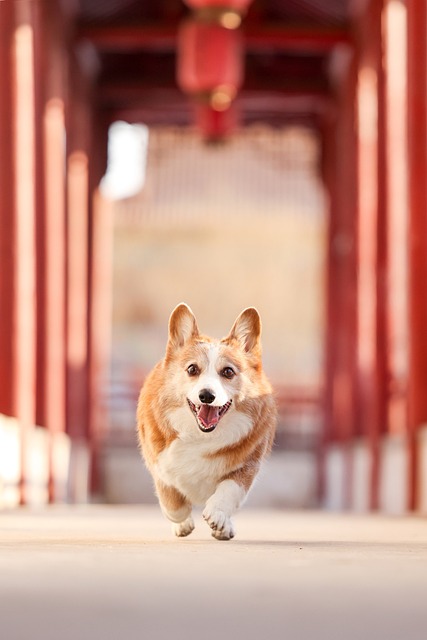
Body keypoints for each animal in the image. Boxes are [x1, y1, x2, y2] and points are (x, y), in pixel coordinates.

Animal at [136, 304, 278, 540]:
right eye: (192, 369)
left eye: (228, 371)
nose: (206, 396)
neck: (201, 435)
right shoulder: (160, 465)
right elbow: (172, 503)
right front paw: (182, 520)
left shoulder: (248, 464)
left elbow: (230, 489)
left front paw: (218, 515)